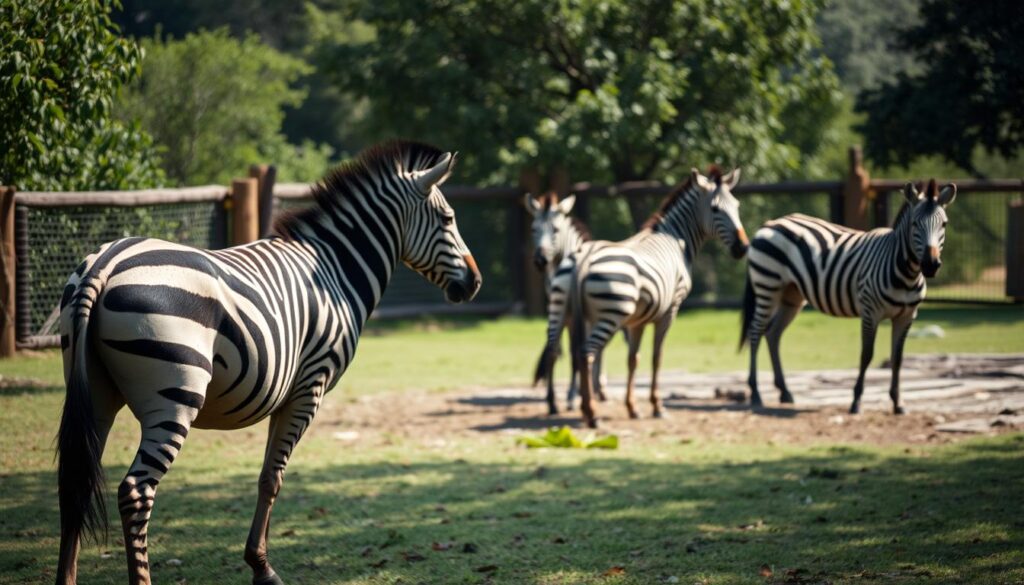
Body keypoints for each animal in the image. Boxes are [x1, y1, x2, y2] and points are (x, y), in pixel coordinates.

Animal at [54, 141, 482, 585]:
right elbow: (274, 477)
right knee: (136, 491)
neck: (334, 271)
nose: (475, 282)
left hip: (95, 392)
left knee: (75, 483)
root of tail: (104, 265)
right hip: (174, 399)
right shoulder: (310, 387)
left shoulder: (286, 393)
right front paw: (263, 567)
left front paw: (258, 561)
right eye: (448, 219)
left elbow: (264, 477)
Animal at [567, 167, 749, 428]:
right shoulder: (670, 310)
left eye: (736, 205)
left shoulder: (636, 321)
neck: (675, 238)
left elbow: (633, 359)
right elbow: (657, 357)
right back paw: (591, 413)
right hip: (610, 316)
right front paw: (657, 406)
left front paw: (632, 408)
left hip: (581, 316)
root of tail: (585, 258)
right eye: (715, 209)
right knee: (586, 354)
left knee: (579, 355)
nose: (743, 248)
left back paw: (586, 409)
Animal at [740, 179, 956, 415]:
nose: (931, 265)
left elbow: (897, 358)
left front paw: (898, 403)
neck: (905, 273)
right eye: (915, 224)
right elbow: (866, 354)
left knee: (773, 334)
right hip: (767, 286)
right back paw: (756, 393)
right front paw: (856, 401)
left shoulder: (907, 316)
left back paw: (785, 392)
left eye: (944, 224)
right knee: (755, 332)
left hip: (791, 296)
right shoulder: (870, 312)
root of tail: (770, 223)